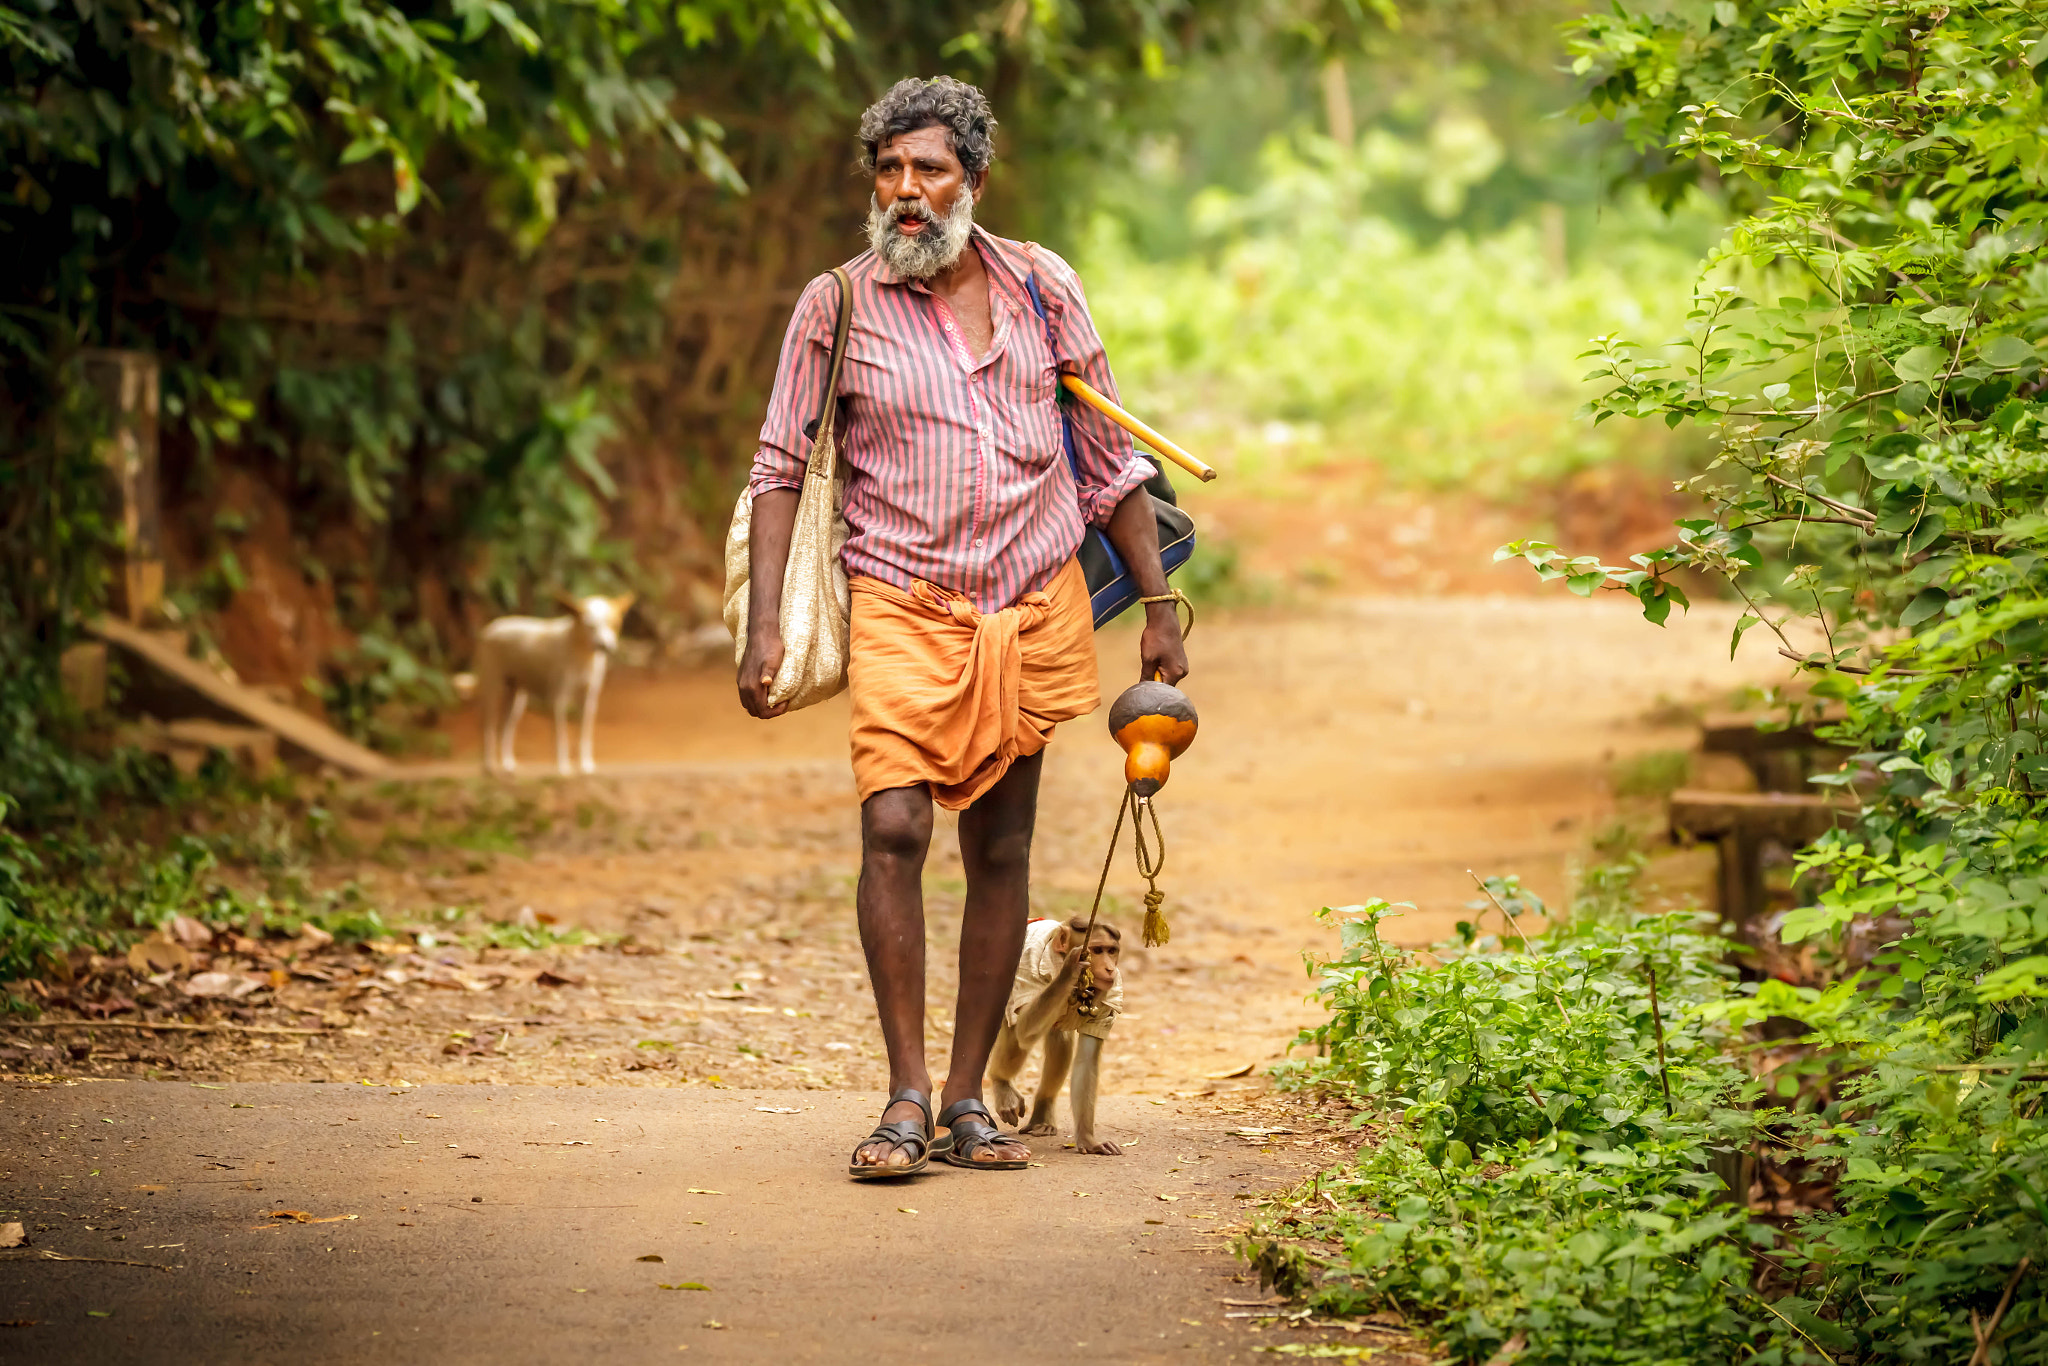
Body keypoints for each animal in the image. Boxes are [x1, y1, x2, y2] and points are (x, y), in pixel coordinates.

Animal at [989, 916, 1125, 1155]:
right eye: (1097, 950)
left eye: (1111, 950)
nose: (1109, 968)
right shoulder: (1027, 971)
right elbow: (1024, 1031)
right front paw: (1069, 970)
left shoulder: (1112, 993)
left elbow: (1086, 1059)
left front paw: (1088, 1139)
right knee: (1018, 1036)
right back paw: (1000, 1081)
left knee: (1059, 1039)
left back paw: (1042, 1113)